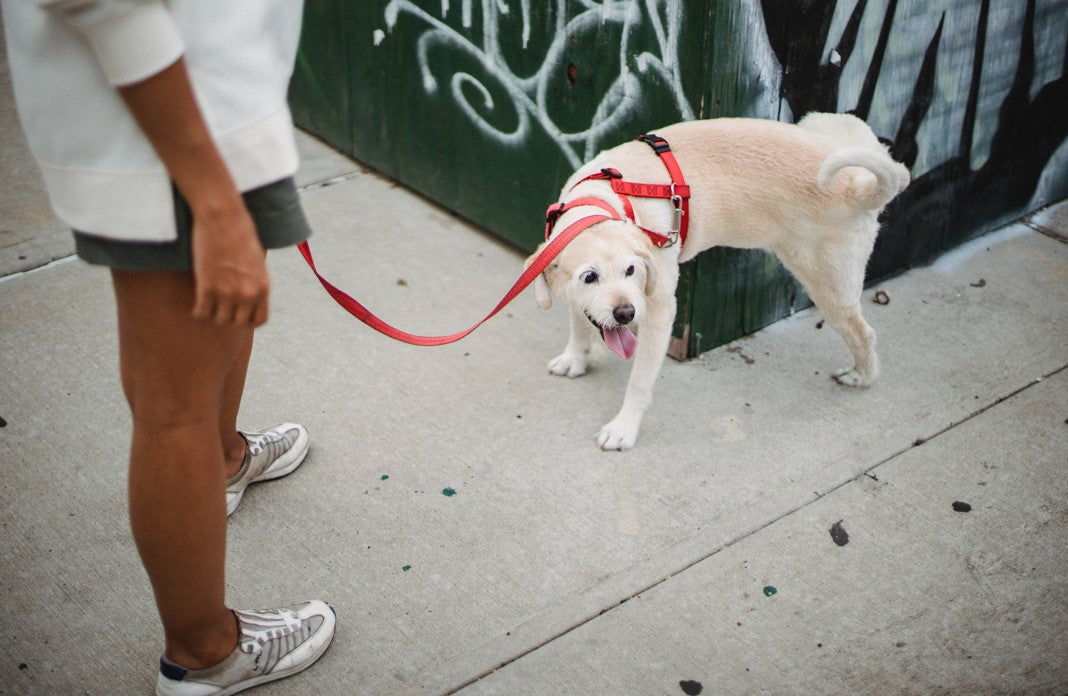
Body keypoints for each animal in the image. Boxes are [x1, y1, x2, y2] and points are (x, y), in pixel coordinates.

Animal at [525, 112, 909, 450]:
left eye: (632, 270)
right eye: (589, 277)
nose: (625, 314)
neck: (605, 201)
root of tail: (856, 186)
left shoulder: (660, 310)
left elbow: (639, 381)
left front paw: (624, 429)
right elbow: (579, 322)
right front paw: (574, 358)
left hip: (829, 286)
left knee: (863, 333)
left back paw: (862, 376)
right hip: (825, 122)